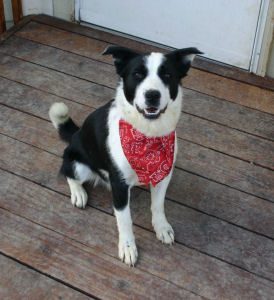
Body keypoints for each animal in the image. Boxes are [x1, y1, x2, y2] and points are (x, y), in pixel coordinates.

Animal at [49, 45, 202, 266]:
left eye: (167, 75)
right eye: (137, 74)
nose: (152, 95)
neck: (148, 136)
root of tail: (76, 134)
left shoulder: (163, 174)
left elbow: (158, 205)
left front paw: (162, 228)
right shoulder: (119, 185)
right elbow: (125, 221)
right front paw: (128, 248)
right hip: (78, 164)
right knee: (68, 171)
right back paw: (78, 193)